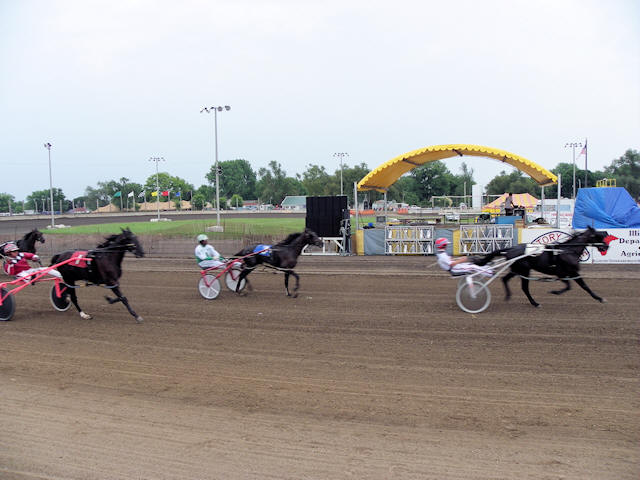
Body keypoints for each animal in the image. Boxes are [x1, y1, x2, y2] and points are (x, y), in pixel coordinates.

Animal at [475, 226, 611, 307]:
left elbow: (580, 286)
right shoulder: (565, 273)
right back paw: (535, 303)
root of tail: (511, 248)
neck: (567, 251)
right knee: (524, 288)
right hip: (524, 270)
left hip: (517, 269)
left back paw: (508, 296)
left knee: (505, 279)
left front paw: (599, 298)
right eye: (596, 236)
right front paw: (555, 292)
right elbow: (573, 286)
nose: (606, 246)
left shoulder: (570, 273)